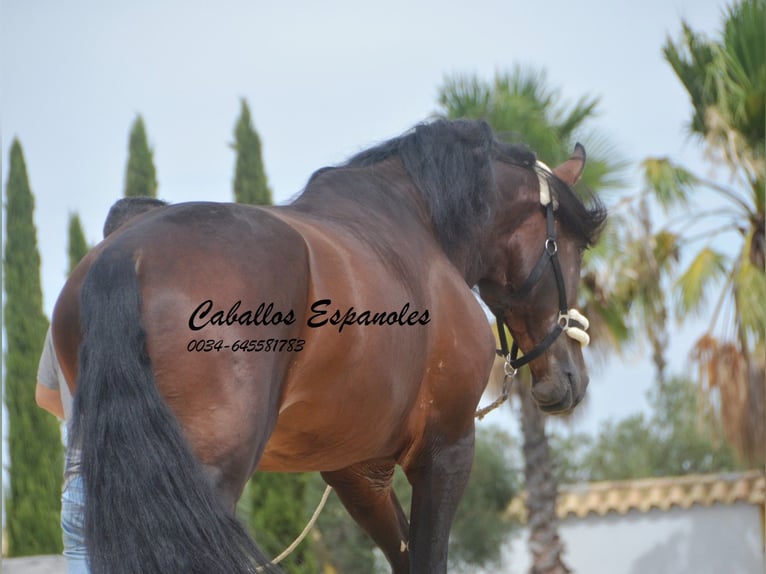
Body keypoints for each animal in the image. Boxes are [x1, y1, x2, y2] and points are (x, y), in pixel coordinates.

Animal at [52, 119, 608, 572]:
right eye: (573, 246)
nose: (571, 377)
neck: (418, 225)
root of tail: (127, 254)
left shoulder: (358, 469)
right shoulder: (445, 447)